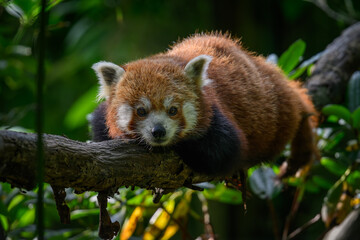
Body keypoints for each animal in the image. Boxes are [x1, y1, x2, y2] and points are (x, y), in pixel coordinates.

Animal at [90, 33, 318, 176]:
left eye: (173, 110)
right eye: (141, 111)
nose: (159, 131)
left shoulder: (216, 114)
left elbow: (224, 150)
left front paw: (182, 145)